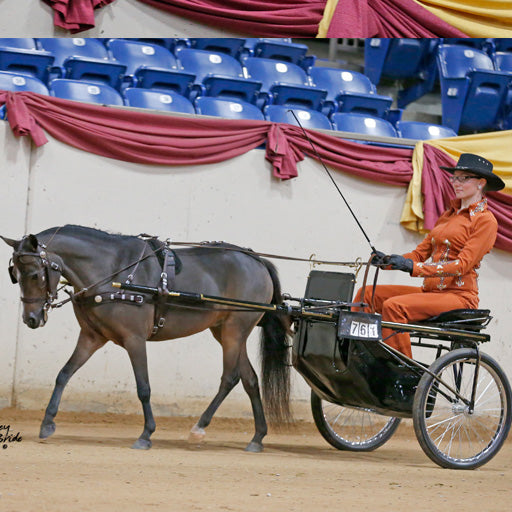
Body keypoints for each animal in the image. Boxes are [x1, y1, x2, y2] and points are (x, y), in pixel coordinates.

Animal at [2, 226, 292, 450]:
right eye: (15, 275)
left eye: (34, 274)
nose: (31, 319)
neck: (114, 273)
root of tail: (257, 261)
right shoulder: (91, 337)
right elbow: (64, 374)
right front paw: (47, 423)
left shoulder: (134, 339)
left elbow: (143, 387)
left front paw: (146, 434)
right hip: (226, 332)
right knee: (250, 379)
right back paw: (257, 438)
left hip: (235, 329)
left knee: (230, 377)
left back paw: (199, 428)